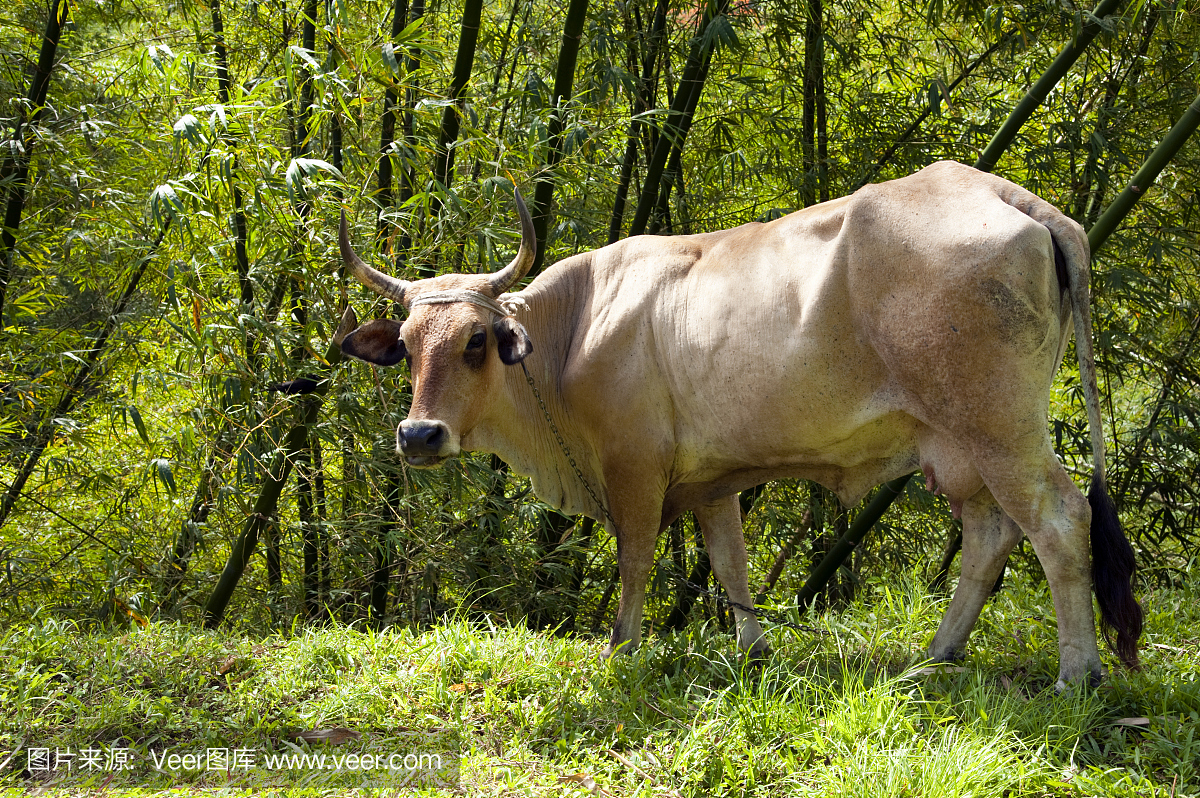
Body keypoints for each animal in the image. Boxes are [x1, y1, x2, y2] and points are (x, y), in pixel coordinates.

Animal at [340, 160, 1142, 686]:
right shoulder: (712, 477)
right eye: (406, 345)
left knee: (1059, 522)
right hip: (958, 447)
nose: (418, 436)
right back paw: (935, 657)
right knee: (990, 535)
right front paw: (752, 650)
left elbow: (635, 560)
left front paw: (621, 651)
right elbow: (728, 560)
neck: (572, 333)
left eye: (476, 341)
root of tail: (1005, 193)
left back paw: (1077, 674)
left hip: (999, 428)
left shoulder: (634, 466)